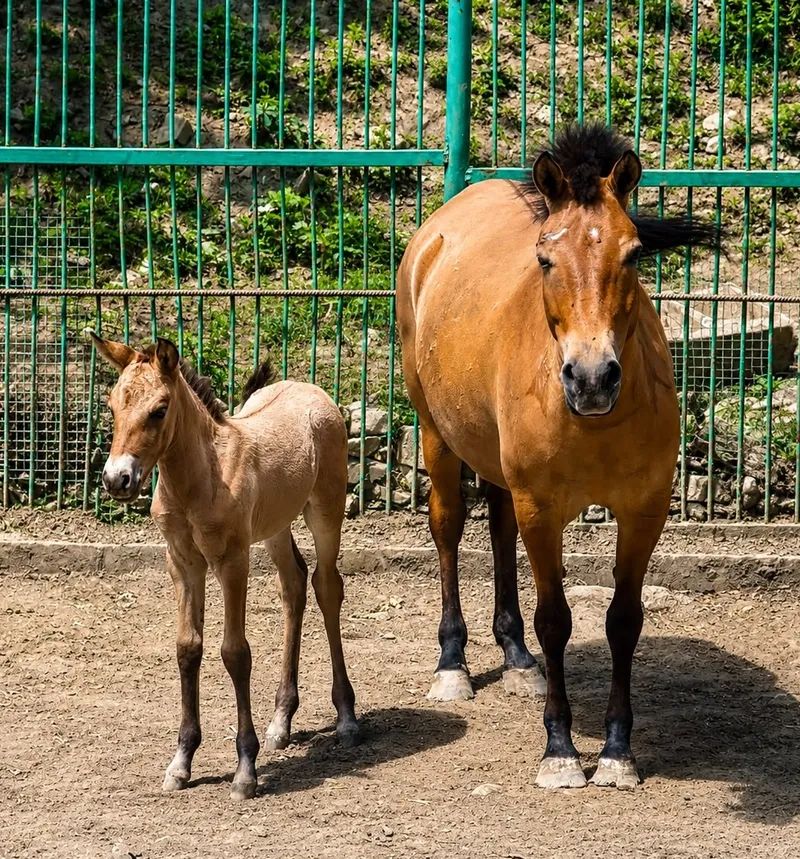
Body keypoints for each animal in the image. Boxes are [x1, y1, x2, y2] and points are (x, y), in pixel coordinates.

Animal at [89, 332, 359, 800]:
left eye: (159, 409)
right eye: (111, 406)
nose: (116, 479)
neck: (200, 479)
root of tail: (311, 389)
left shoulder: (232, 561)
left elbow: (235, 653)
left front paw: (245, 769)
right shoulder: (182, 563)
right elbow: (187, 649)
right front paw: (181, 762)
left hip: (326, 512)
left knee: (327, 586)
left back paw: (345, 718)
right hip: (275, 526)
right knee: (294, 586)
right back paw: (281, 721)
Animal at [396, 123, 718, 790]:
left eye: (633, 254)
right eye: (545, 258)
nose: (591, 378)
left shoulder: (645, 510)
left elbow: (624, 620)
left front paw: (617, 751)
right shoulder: (541, 509)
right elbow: (557, 621)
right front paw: (562, 749)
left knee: (496, 524)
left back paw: (517, 656)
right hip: (437, 434)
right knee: (448, 528)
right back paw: (453, 663)